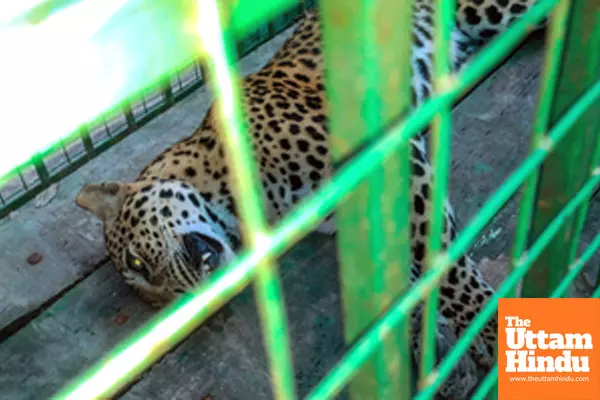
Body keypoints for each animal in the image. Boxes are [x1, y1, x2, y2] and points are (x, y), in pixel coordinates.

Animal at [77, 2, 548, 396]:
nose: (195, 301)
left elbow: (448, 269)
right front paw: (435, 346)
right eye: (166, 303)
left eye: (138, 261)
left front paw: (489, 327)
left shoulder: (393, 163)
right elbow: (396, 278)